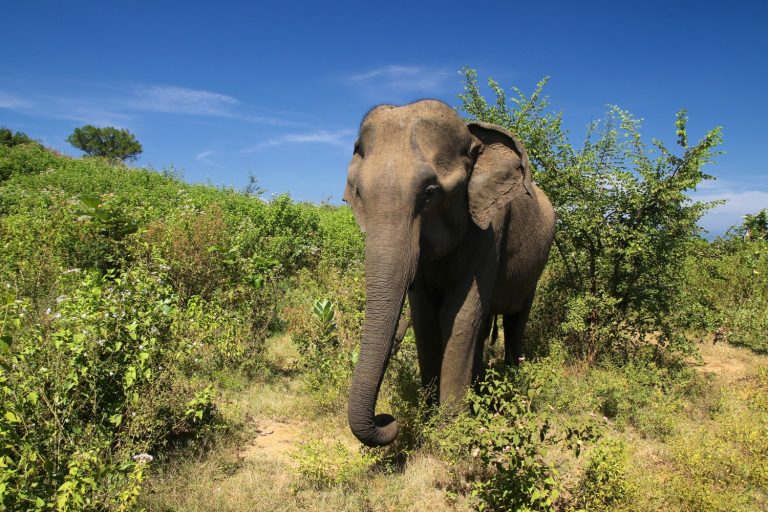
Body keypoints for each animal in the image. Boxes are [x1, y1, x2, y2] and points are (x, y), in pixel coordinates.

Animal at [343, 100, 555, 447]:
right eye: (358, 194)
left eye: (430, 193)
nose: (389, 419)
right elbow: (426, 318)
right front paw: (430, 422)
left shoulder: (490, 228)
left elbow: (458, 317)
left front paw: (449, 436)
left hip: (538, 263)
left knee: (515, 319)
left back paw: (512, 377)